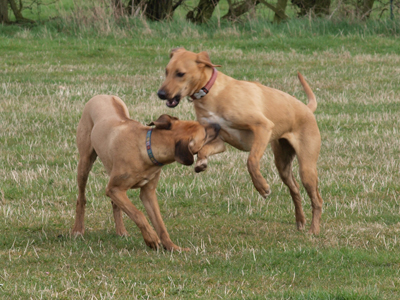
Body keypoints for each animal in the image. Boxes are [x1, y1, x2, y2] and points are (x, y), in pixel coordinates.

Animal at [73, 95, 220, 250]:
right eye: (205, 134)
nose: (218, 126)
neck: (146, 148)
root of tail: (102, 95)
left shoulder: (147, 193)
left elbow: (160, 224)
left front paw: (172, 247)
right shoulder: (114, 189)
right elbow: (138, 214)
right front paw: (151, 238)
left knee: (115, 204)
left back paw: (121, 231)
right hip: (85, 161)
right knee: (81, 198)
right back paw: (77, 230)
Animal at [158, 48, 324, 234]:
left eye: (180, 73)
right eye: (166, 71)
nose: (160, 94)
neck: (213, 92)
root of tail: (307, 109)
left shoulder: (263, 127)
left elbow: (251, 161)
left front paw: (262, 187)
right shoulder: (217, 140)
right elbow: (203, 150)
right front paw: (201, 162)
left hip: (307, 168)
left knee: (317, 199)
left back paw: (314, 229)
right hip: (283, 164)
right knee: (295, 190)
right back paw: (300, 221)